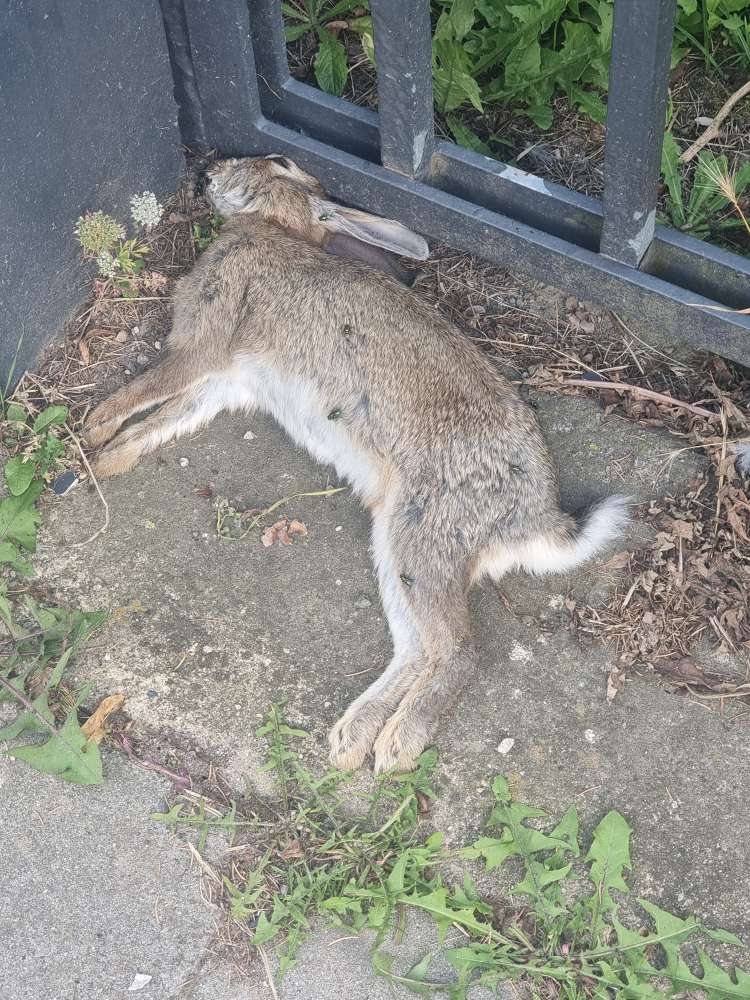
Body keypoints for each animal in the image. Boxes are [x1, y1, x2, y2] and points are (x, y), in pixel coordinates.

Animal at [84, 154, 630, 774]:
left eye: (281, 163)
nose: (214, 167)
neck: (271, 229)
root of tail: (539, 520)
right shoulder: (227, 380)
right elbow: (167, 417)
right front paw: (110, 458)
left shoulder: (203, 344)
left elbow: (149, 388)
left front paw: (92, 429)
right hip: (396, 541)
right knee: (417, 648)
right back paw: (353, 740)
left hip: (424, 535)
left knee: (458, 652)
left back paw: (396, 746)